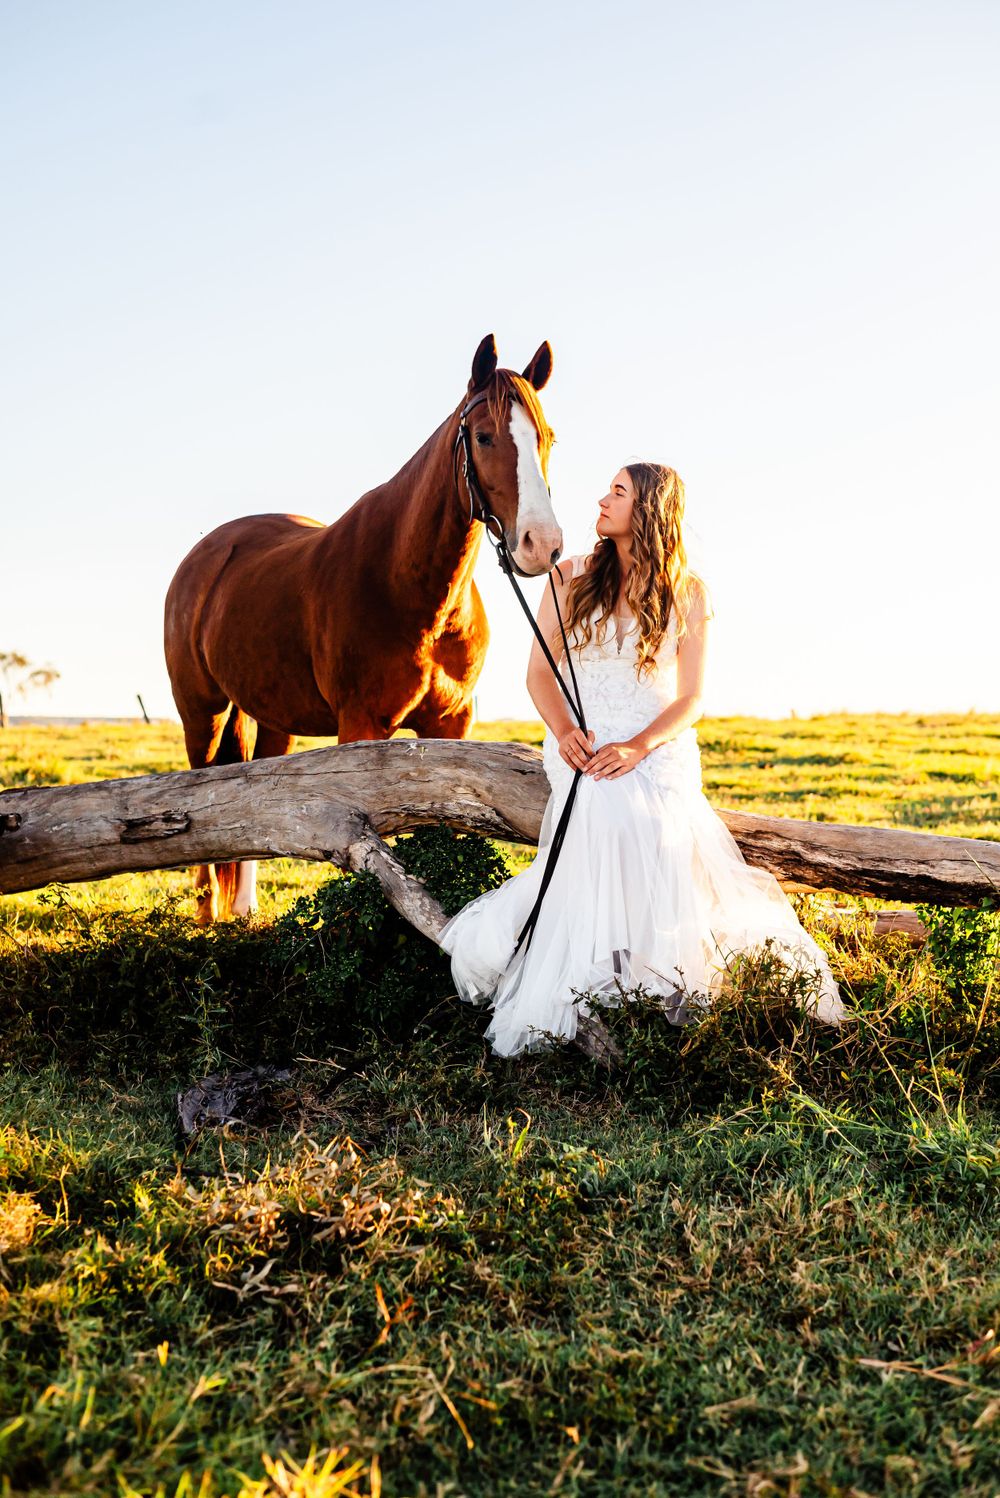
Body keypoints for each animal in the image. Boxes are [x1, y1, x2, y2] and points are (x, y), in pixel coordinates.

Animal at [164, 333, 562, 924]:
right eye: (484, 435)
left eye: (547, 438)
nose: (542, 544)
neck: (410, 588)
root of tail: (208, 553)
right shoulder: (361, 725)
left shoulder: (451, 727)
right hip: (202, 709)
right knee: (201, 785)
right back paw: (209, 910)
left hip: (271, 713)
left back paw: (244, 909)